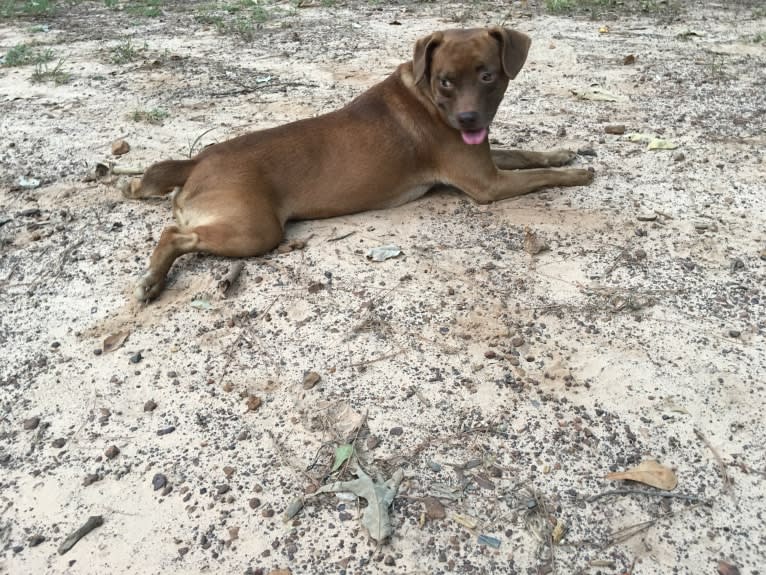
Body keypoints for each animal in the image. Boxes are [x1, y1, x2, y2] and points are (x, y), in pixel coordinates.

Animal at [124, 28, 592, 302]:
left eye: (487, 75)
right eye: (445, 81)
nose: (468, 121)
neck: (424, 94)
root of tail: (197, 160)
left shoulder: (486, 163)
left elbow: (529, 155)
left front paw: (564, 152)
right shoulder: (487, 183)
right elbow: (540, 176)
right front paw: (577, 172)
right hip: (254, 231)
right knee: (173, 235)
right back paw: (150, 281)